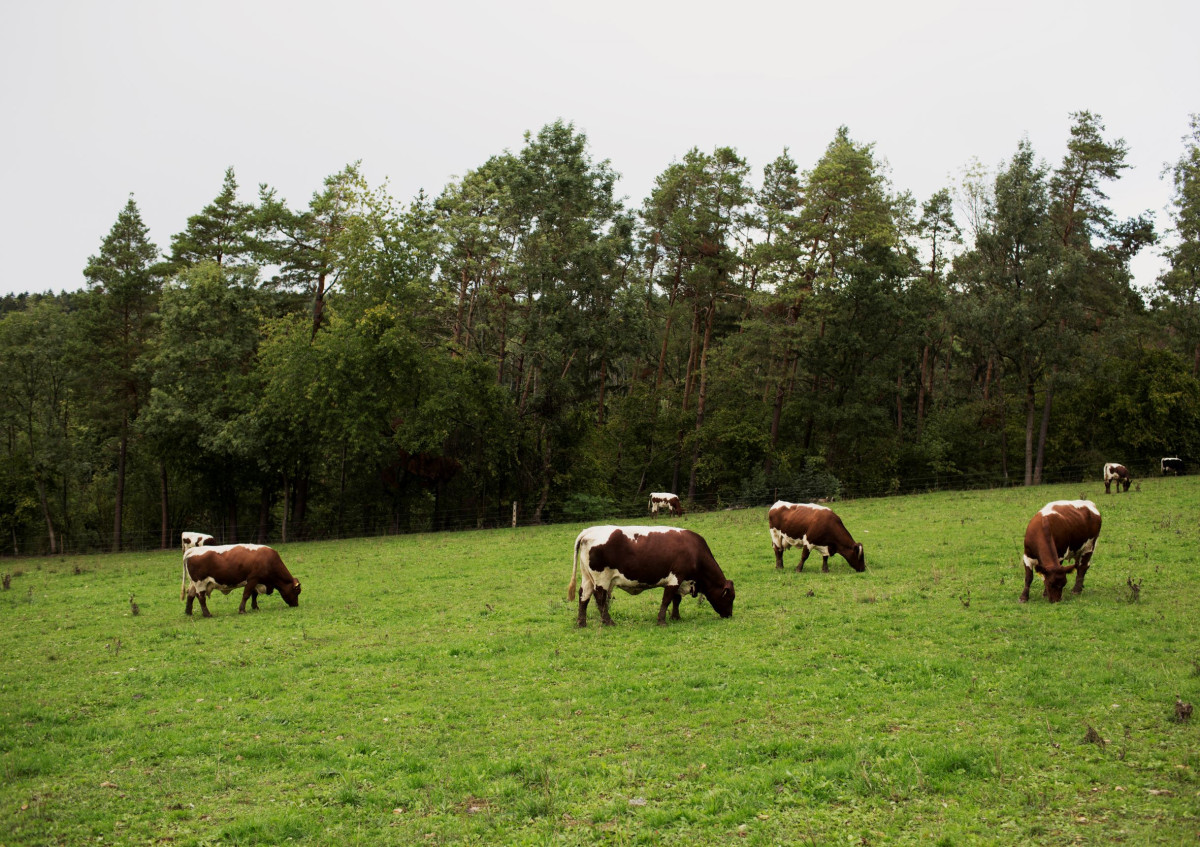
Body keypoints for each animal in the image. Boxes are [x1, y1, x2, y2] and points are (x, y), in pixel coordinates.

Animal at [568, 525, 734, 623]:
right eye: (730, 597)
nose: (729, 615)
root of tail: (589, 530)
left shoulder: (680, 580)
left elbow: (676, 600)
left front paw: (676, 617)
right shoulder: (675, 578)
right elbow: (667, 599)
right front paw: (662, 621)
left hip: (587, 577)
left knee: (584, 596)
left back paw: (581, 623)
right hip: (601, 578)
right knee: (600, 598)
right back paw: (608, 622)